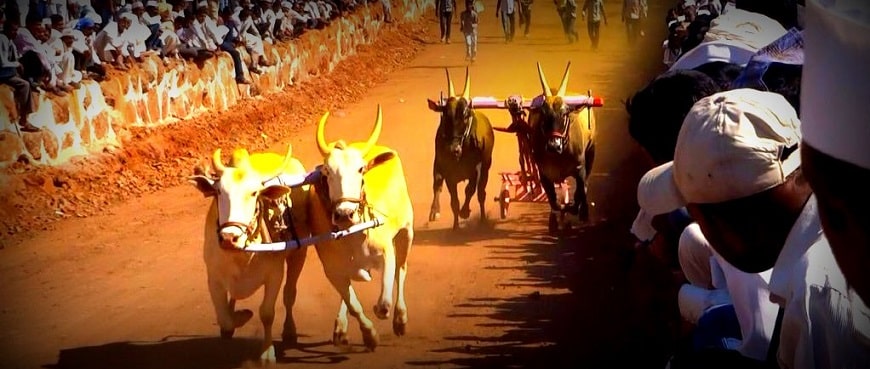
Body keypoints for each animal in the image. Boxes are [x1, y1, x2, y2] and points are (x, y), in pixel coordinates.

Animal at [426, 66, 494, 227]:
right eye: (445, 115)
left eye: (466, 115)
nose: (454, 149)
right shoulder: (448, 173)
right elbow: (454, 201)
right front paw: (455, 225)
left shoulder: (477, 170)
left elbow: (470, 190)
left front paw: (465, 212)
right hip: (438, 165)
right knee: (437, 185)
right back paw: (435, 211)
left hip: (486, 168)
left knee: (481, 193)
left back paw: (482, 218)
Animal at [528, 61, 596, 231]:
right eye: (543, 114)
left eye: (565, 113)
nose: (554, 146)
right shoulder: (544, 174)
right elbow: (554, 202)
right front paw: (556, 218)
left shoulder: (580, 169)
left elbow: (580, 193)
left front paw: (577, 210)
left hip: (591, 152)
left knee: (585, 185)